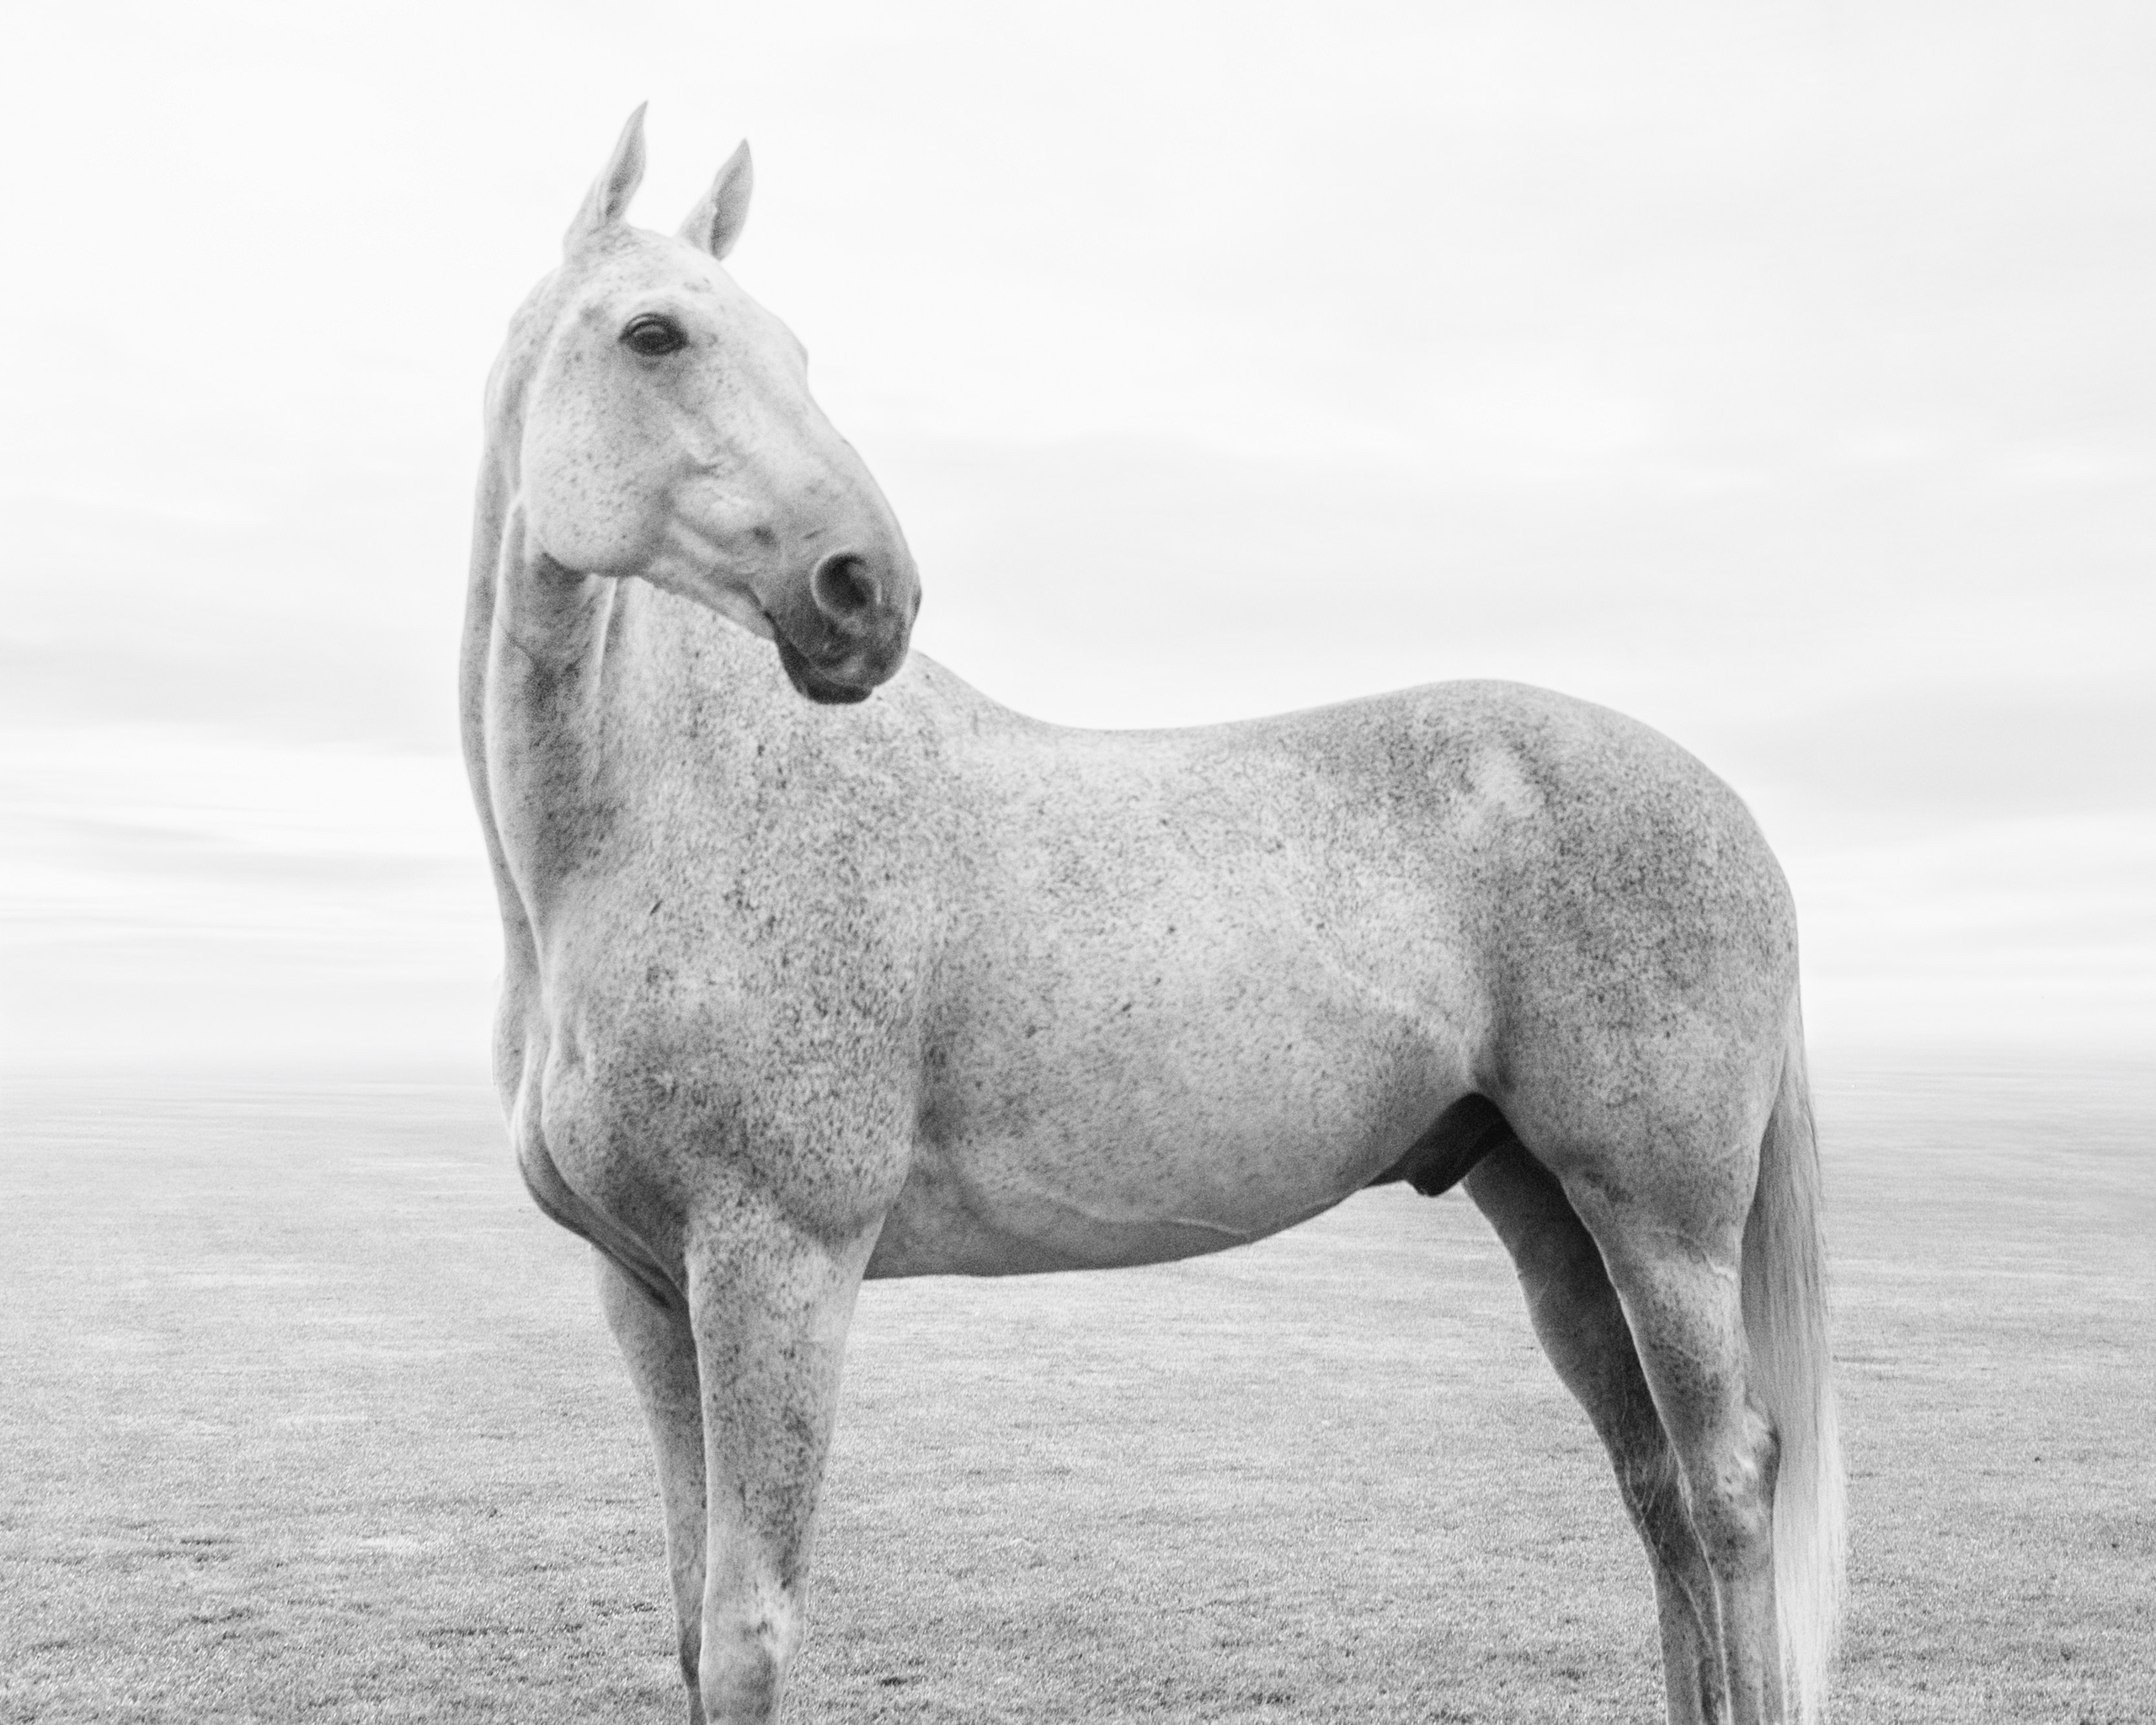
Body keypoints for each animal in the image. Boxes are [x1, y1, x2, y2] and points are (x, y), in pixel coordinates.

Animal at [461, 107, 1845, 1725]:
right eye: (655, 334)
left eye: (795, 348)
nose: (865, 593)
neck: (647, 820)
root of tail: (1730, 815)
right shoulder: (644, 1289)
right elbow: (693, 1625)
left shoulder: (777, 1263)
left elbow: (748, 1630)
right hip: (1555, 1214)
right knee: (1659, 1492)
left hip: (1662, 1214)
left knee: (1729, 1485)